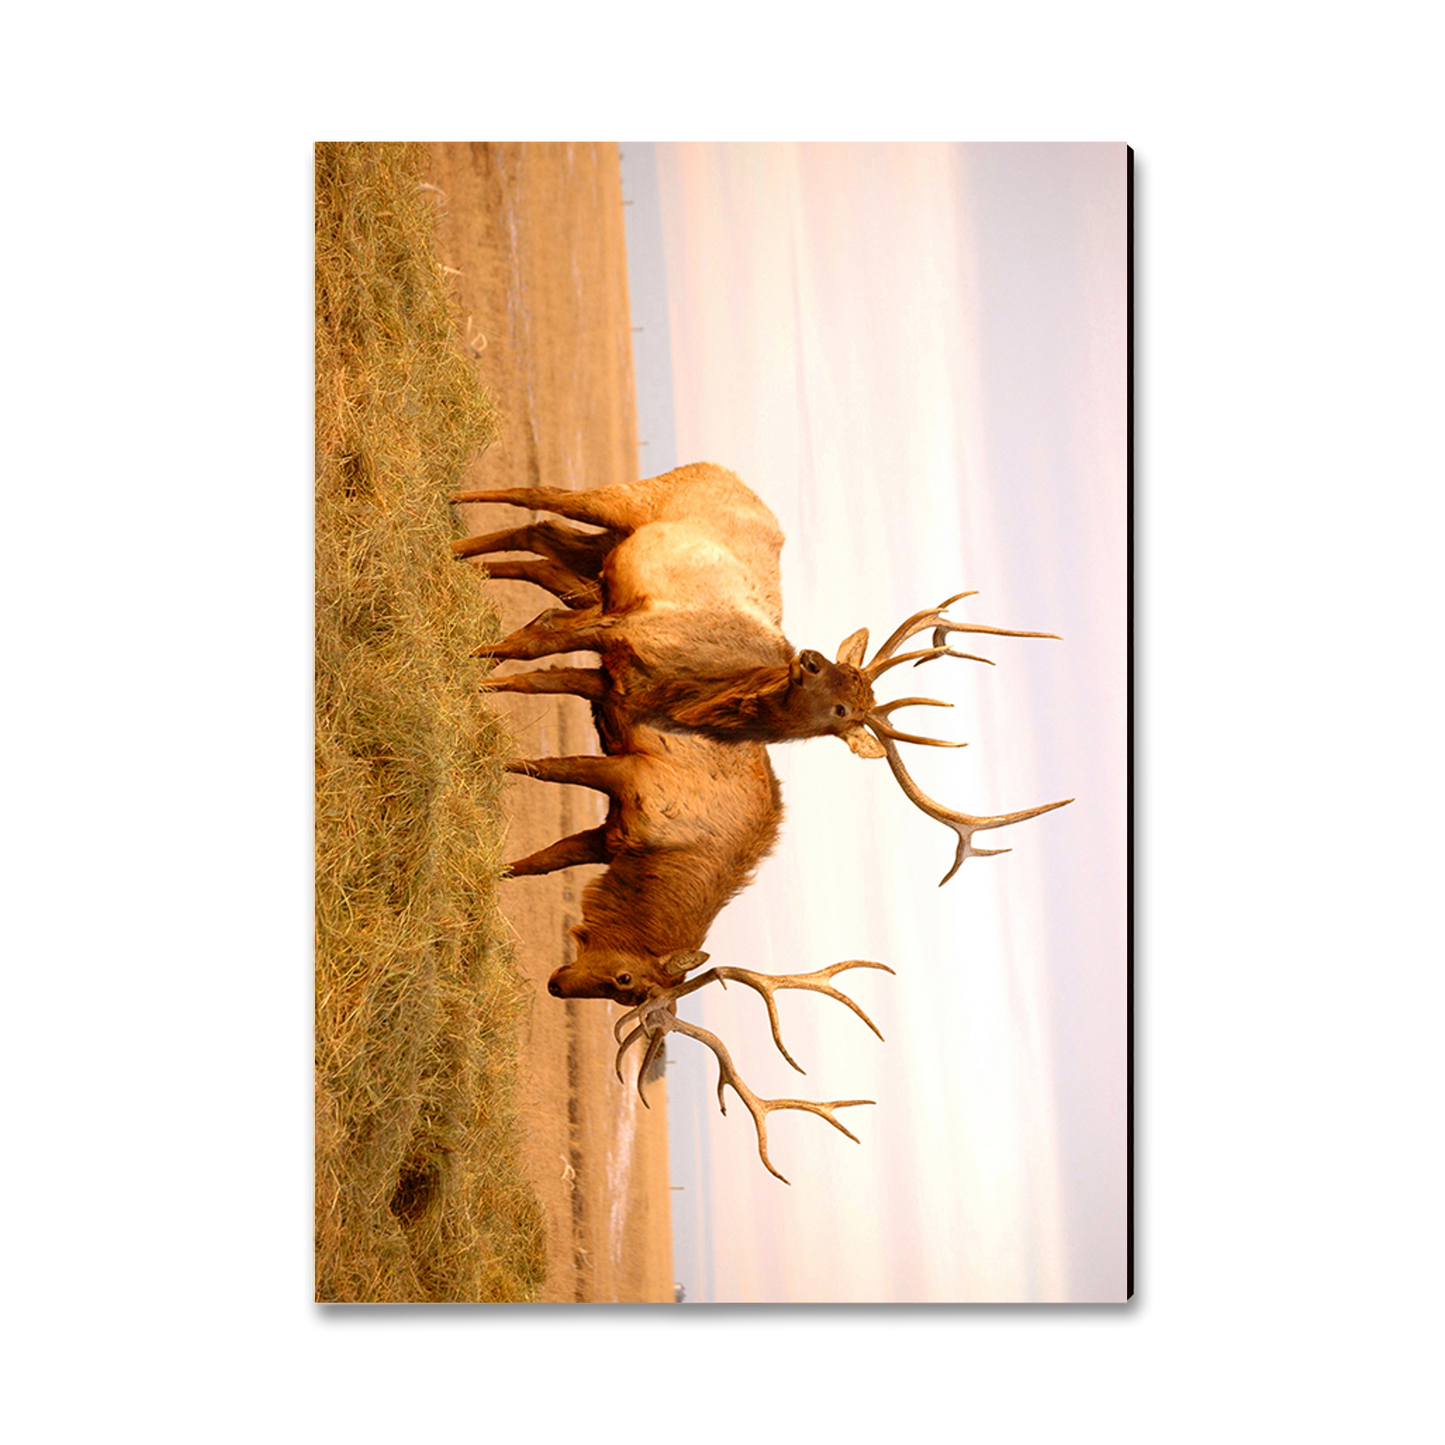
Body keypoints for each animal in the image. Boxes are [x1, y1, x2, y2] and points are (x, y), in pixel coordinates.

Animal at [452, 463, 1073, 884]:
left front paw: (480, 679)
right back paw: (456, 503)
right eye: (838, 675)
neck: (696, 693)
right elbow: (533, 645)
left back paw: (463, 551)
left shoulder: (618, 682)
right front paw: (473, 667)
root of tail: (727, 472)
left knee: (537, 537)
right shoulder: (625, 630)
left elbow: (537, 672)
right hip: (630, 501)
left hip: (605, 553)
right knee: (541, 496)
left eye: (845, 707)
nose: (811, 658)